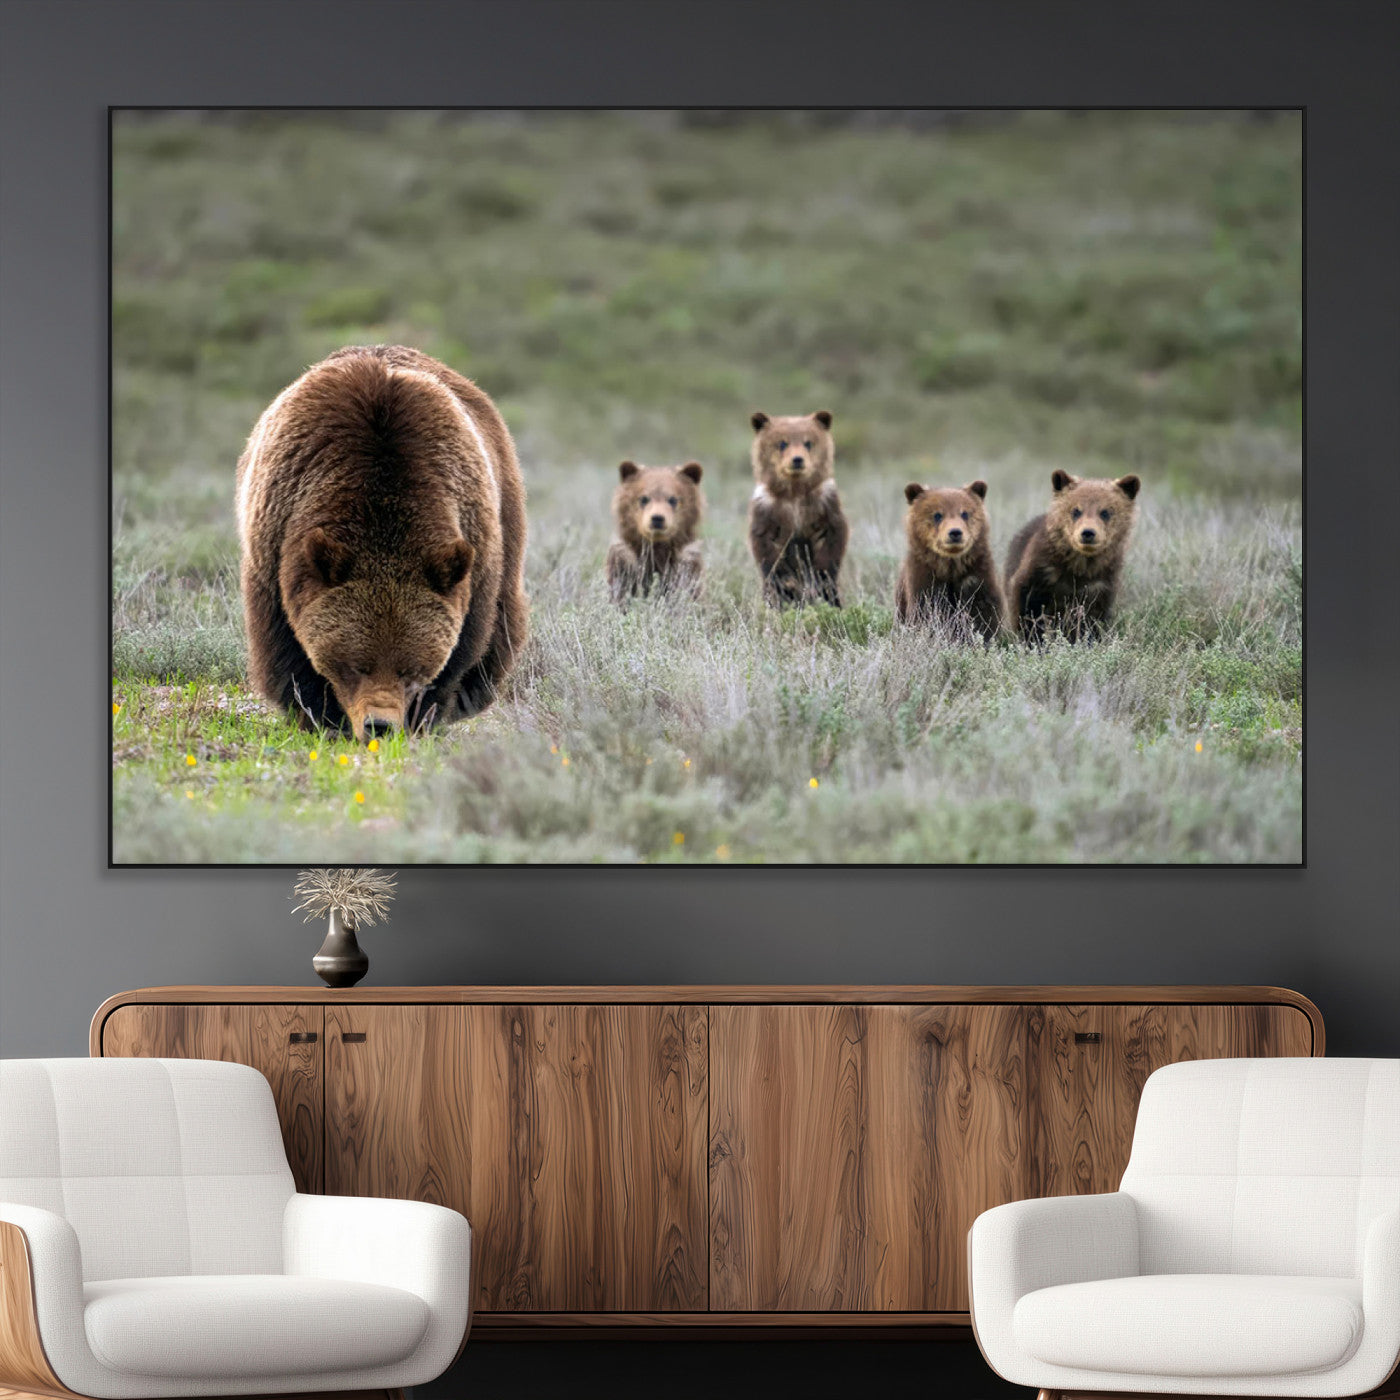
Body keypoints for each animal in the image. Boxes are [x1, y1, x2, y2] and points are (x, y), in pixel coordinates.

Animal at [235, 344, 529, 741]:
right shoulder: (277, 542)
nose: (380, 725)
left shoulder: (474, 550)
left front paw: (424, 717)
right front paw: (321, 716)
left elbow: (462, 649)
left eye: (410, 668)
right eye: (357, 664)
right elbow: (287, 650)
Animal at [605, 460, 705, 603]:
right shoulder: (625, 562)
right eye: (644, 498)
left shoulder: (686, 563)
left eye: (673, 499)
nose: (657, 518)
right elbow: (620, 589)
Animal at [747, 410, 849, 607]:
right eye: (782, 443)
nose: (797, 459)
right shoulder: (768, 510)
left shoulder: (824, 505)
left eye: (808, 442)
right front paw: (787, 584)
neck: (794, 494)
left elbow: (831, 541)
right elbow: (767, 549)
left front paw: (819, 579)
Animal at [894, 479, 1004, 640]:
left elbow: (983, 614)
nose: (955, 532)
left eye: (964, 513)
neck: (950, 566)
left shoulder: (977, 575)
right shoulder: (924, 579)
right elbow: (925, 612)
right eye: (937, 515)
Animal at [1004, 469, 1141, 643]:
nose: (1088, 533)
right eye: (1076, 510)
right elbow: (1027, 608)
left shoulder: (1100, 583)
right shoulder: (1040, 573)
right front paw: (1033, 639)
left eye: (1105, 512)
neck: (1079, 567)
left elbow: (1093, 619)